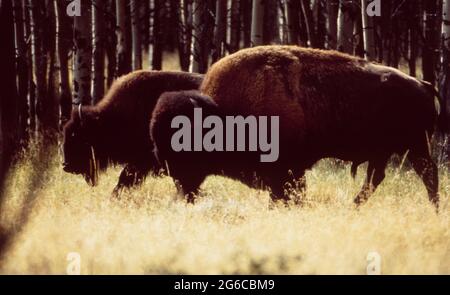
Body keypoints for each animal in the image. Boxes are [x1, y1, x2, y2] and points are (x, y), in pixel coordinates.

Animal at [150, 45, 442, 210]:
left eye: (185, 143)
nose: (177, 180)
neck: (223, 114)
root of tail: (423, 84)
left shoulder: (287, 171)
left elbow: (288, 195)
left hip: (415, 147)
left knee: (428, 176)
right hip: (388, 152)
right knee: (376, 179)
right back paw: (354, 208)